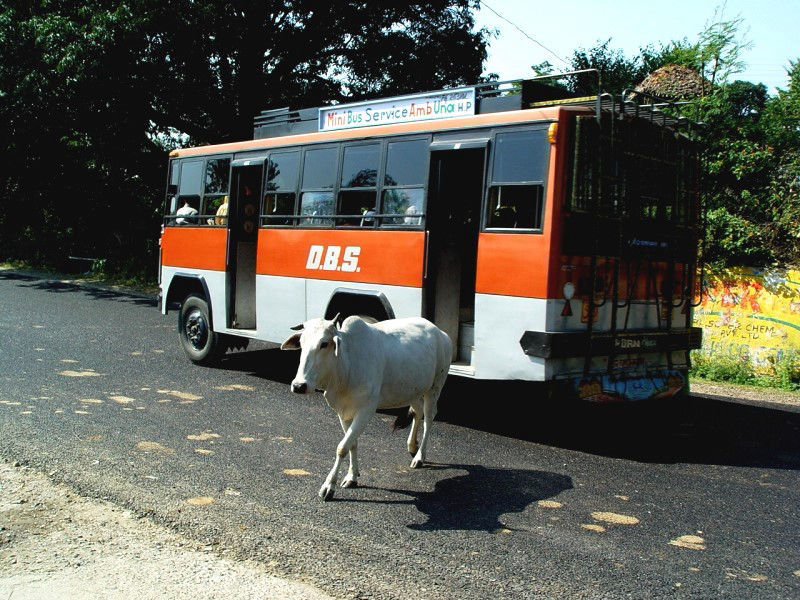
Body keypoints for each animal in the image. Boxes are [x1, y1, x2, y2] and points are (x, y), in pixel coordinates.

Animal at [282, 312, 450, 500]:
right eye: (302, 343)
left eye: (324, 344)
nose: (299, 386)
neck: (346, 365)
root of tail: (440, 333)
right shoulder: (343, 412)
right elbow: (352, 444)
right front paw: (352, 476)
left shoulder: (366, 410)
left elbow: (342, 447)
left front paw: (328, 486)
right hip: (411, 391)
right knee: (417, 412)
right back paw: (412, 446)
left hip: (435, 388)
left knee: (429, 418)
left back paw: (420, 456)